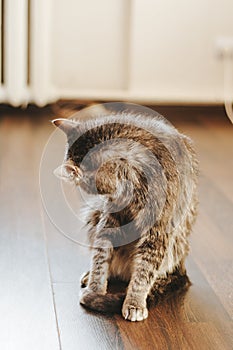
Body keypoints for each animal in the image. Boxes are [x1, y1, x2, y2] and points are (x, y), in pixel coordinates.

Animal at [52, 107, 198, 322]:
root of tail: (182, 266)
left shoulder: (157, 232)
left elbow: (144, 271)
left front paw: (134, 302)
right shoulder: (109, 220)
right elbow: (100, 257)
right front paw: (95, 289)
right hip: (94, 214)